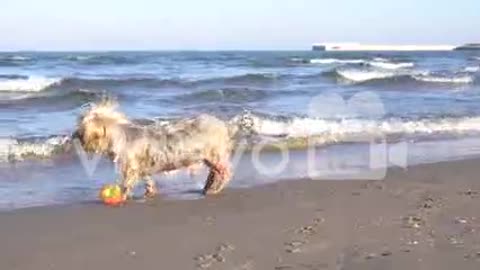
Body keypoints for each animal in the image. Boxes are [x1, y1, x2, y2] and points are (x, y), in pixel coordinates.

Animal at [74, 100, 237, 199]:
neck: (120, 134)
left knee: (225, 171)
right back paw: (207, 186)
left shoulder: (130, 166)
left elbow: (127, 182)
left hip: (214, 154)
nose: (74, 135)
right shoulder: (142, 167)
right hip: (208, 157)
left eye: (83, 130)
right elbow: (147, 180)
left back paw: (214, 188)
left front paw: (122, 196)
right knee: (215, 171)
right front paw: (149, 192)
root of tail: (224, 125)